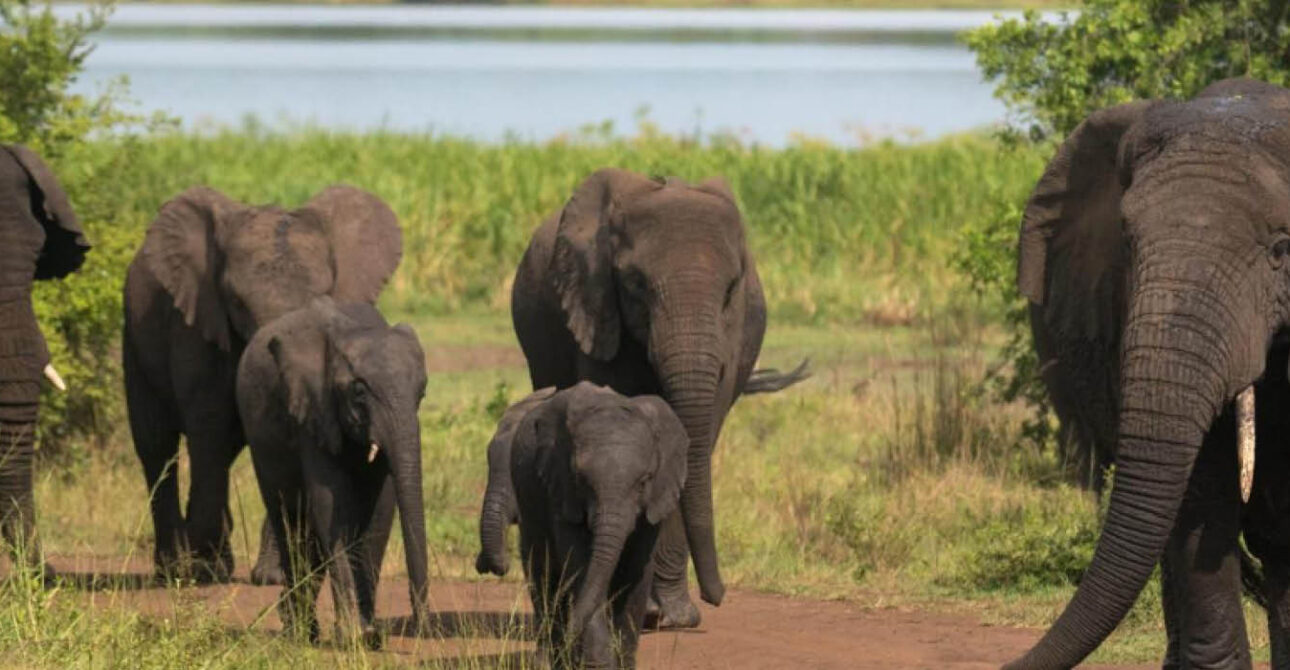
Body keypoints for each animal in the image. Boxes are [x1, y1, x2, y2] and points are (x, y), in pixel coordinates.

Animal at [122, 184, 401, 583]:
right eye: (237, 302)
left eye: (323, 296)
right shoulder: (197, 326)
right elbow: (208, 423)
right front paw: (204, 570)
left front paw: (273, 576)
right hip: (134, 337)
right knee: (157, 446)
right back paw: (175, 569)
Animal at [236, 297, 428, 648]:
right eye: (359, 392)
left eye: (421, 394)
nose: (421, 627)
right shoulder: (313, 409)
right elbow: (330, 506)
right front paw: (354, 635)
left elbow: (381, 511)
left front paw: (369, 635)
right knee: (290, 517)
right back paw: (299, 630)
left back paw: (300, 623)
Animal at [476, 382, 688, 669]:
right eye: (581, 480)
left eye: (645, 481)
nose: (488, 565)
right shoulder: (561, 490)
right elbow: (579, 567)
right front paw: (599, 663)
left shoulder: (655, 501)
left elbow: (635, 572)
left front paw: (619, 662)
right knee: (545, 577)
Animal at [511, 167, 806, 629]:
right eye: (635, 284)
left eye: (730, 291)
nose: (717, 596)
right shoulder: (597, 310)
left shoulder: (733, 340)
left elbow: (689, 443)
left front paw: (673, 617)